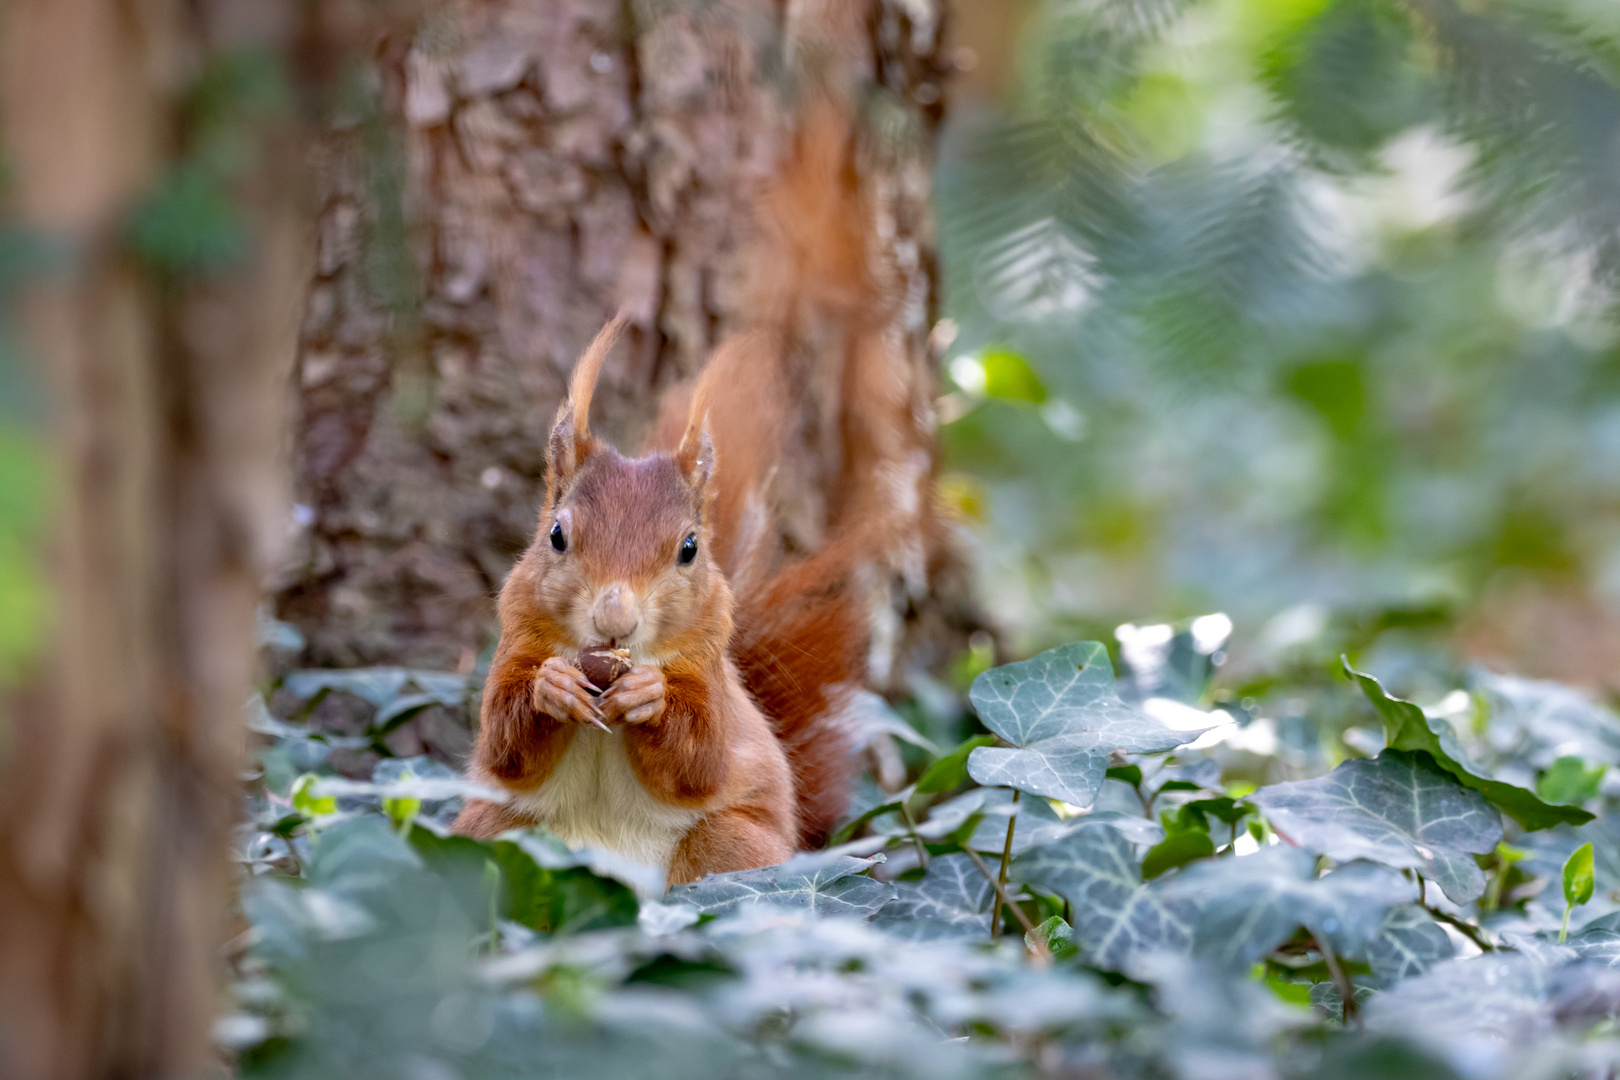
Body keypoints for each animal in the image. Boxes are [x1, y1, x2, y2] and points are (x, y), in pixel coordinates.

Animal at [456, 99, 939, 887]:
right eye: (556, 535)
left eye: (688, 549)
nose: (614, 619)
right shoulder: (515, 637)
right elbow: (503, 741)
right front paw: (552, 688)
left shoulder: (710, 669)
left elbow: (699, 757)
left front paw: (649, 697)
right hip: (495, 839)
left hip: (729, 848)